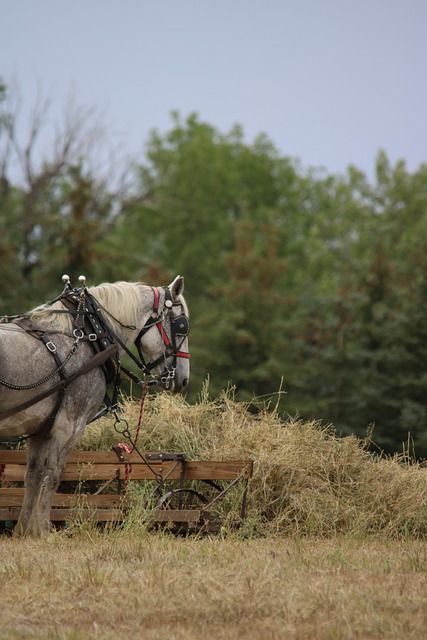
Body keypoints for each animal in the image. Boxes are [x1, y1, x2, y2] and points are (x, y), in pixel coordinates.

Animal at [0, 276, 191, 536]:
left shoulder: (40, 430)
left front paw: (24, 531)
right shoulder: (69, 425)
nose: (183, 379)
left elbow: (33, 476)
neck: (89, 336)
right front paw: (43, 531)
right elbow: (53, 475)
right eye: (182, 326)